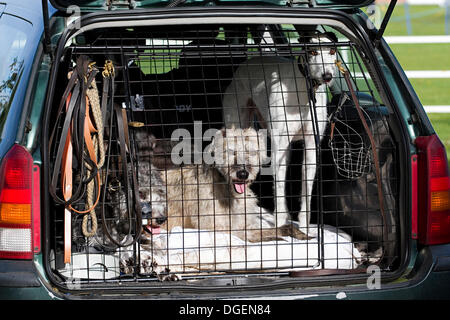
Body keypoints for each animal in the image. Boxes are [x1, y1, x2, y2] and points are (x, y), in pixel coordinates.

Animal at [222, 31, 338, 232]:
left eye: (331, 51)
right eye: (313, 51)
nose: (327, 76)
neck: (304, 91)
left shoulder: (311, 144)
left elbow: (306, 189)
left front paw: (305, 228)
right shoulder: (279, 145)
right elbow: (279, 187)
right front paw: (279, 223)